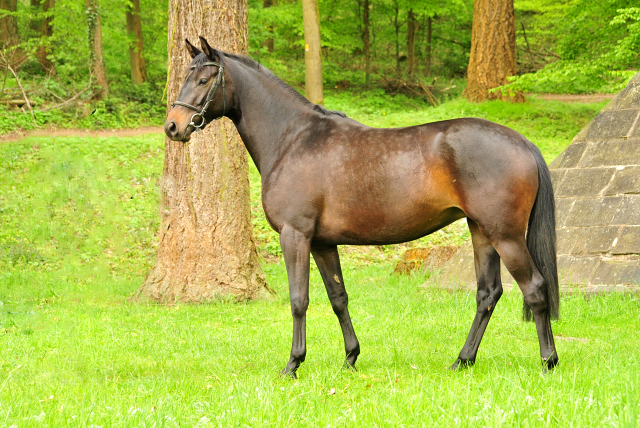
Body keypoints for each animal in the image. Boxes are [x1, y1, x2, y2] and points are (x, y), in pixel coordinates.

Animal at [165, 37, 560, 378]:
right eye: (186, 76)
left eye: (203, 79)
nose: (173, 127)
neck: (293, 139)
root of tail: (523, 143)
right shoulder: (323, 243)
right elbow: (338, 297)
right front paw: (350, 358)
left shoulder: (296, 235)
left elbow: (299, 299)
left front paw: (293, 364)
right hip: (481, 232)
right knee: (487, 294)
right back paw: (462, 360)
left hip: (505, 235)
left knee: (535, 288)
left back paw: (548, 362)